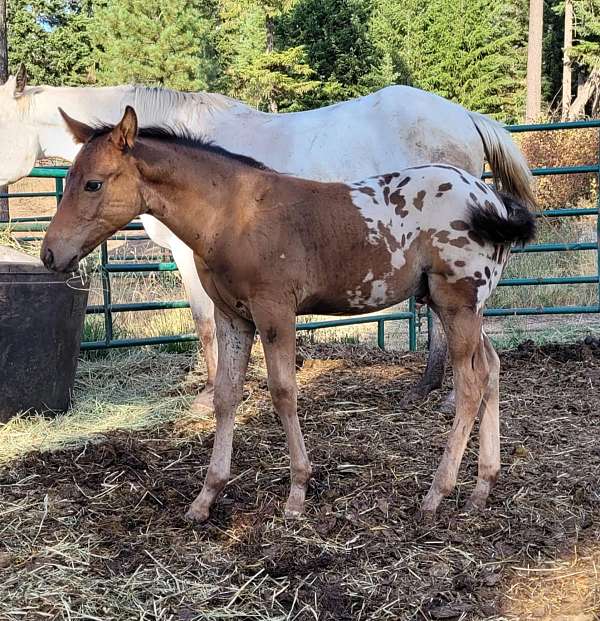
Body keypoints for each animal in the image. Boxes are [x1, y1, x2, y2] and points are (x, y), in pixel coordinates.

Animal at [1, 65, 536, 410]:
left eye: (92, 183)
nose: (51, 253)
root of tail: (464, 115)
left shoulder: (190, 257)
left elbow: (205, 323)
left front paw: (210, 393)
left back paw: (444, 394)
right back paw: (428, 388)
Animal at [41, 109, 536, 520]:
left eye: (93, 183)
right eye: (70, 179)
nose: (50, 254)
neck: (231, 212)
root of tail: (490, 200)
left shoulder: (274, 311)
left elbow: (282, 392)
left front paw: (298, 492)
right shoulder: (233, 317)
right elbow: (227, 395)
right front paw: (206, 497)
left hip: (457, 303)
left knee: (471, 383)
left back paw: (438, 492)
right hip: (465, 307)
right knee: (492, 368)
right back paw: (482, 487)